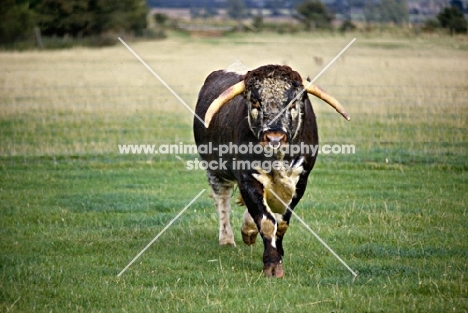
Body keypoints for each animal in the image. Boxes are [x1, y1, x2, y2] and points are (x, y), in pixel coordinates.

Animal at [192, 64, 350, 276]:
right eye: (255, 102)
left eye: (293, 103)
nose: (274, 138)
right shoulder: (247, 178)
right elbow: (266, 222)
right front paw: (272, 264)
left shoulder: (301, 181)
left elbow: (281, 222)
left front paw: (279, 253)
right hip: (215, 171)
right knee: (222, 201)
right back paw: (227, 238)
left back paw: (248, 230)